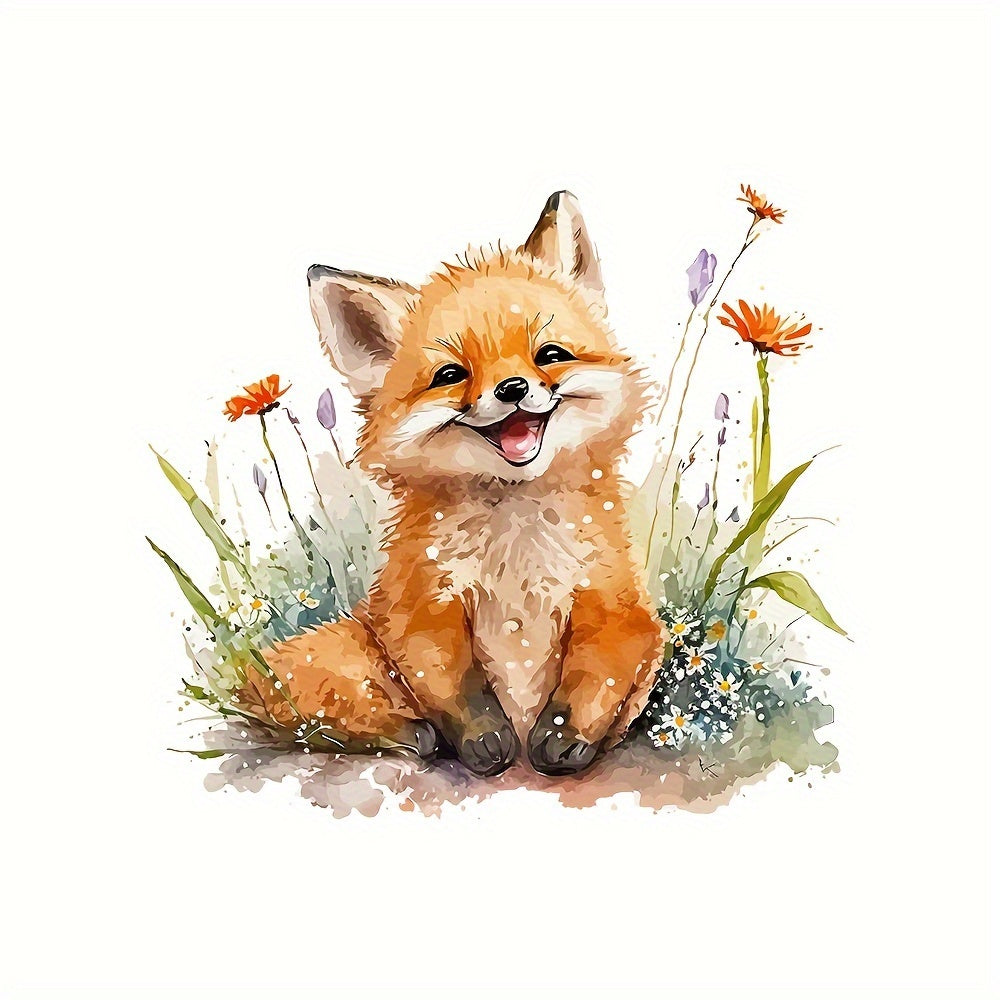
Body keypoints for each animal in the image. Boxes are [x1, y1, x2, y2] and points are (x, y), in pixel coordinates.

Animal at [239, 191, 666, 777]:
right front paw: (486, 742)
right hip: (342, 655)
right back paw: (409, 735)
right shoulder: (420, 608)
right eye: (451, 375)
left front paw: (563, 735)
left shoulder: (615, 604)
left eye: (549, 355)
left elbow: (599, 671)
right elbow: (452, 683)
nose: (513, 388)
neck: (516, 543)